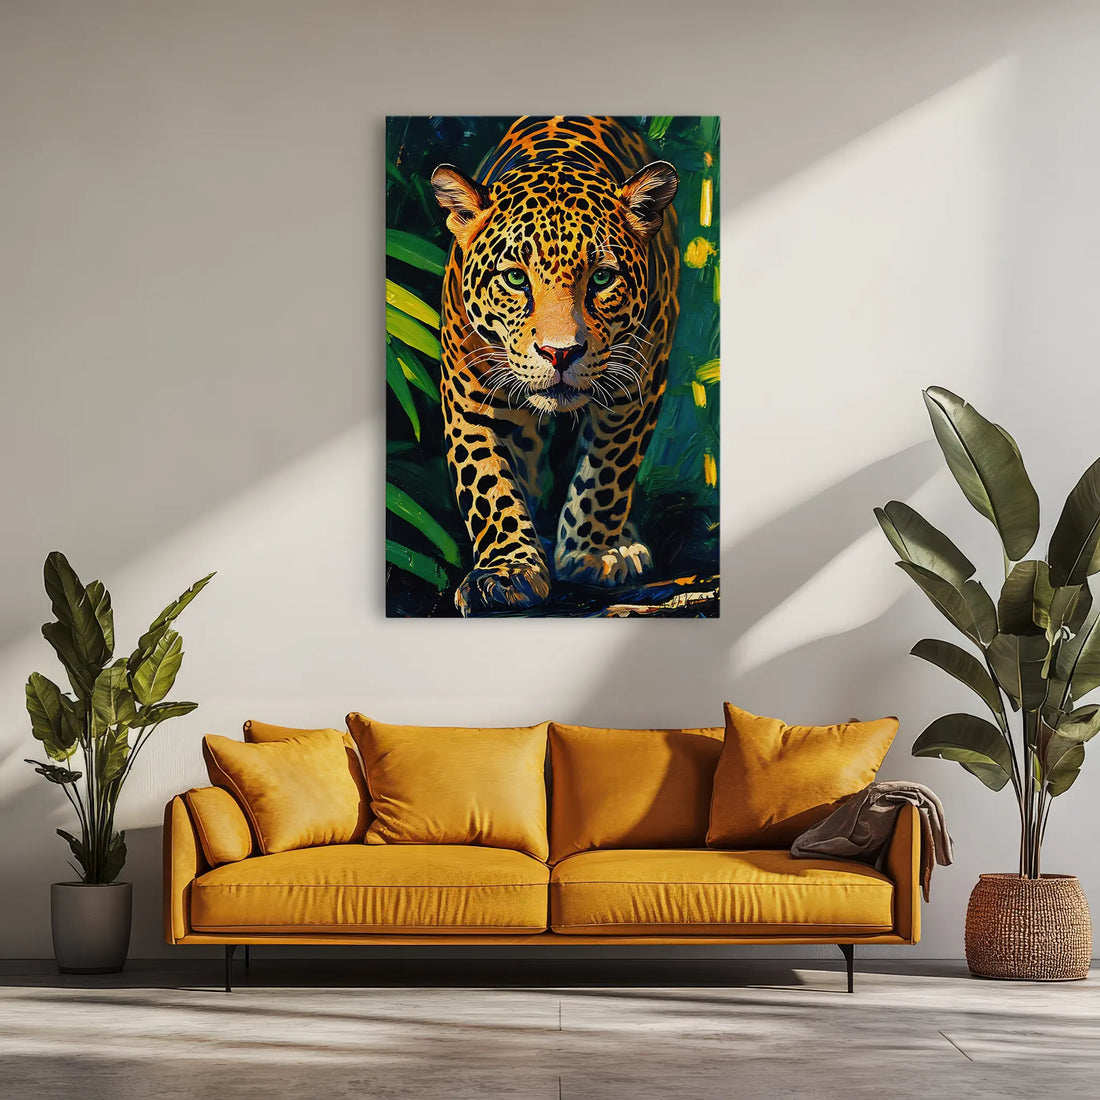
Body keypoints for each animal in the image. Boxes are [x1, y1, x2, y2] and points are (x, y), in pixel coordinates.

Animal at [430, 115, 680, 616]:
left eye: (601, 278)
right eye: (514, 278)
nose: (560, 353)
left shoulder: (637, 385)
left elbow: (607, 472)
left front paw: (590, 555)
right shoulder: (468, 395)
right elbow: (488, 482)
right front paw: (507, 571)